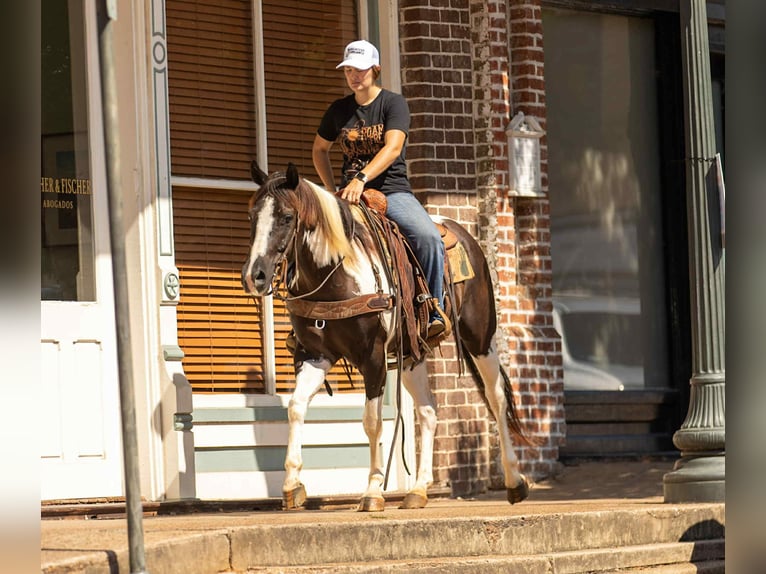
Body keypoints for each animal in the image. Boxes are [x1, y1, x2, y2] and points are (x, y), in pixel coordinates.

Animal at [241, 161, 532, 511]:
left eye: (286, 217)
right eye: (252, 215)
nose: (254, 276)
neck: (336, 273)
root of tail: (464, 235)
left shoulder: (374, 356)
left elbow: (372, 421)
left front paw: (373, 490)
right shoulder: (314, 355)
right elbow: (296, 406)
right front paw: (292, 485)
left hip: (479, 336)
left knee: (496, 396)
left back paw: (515, 482)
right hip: (412, 353)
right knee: (428, 411)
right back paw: (418, 490)